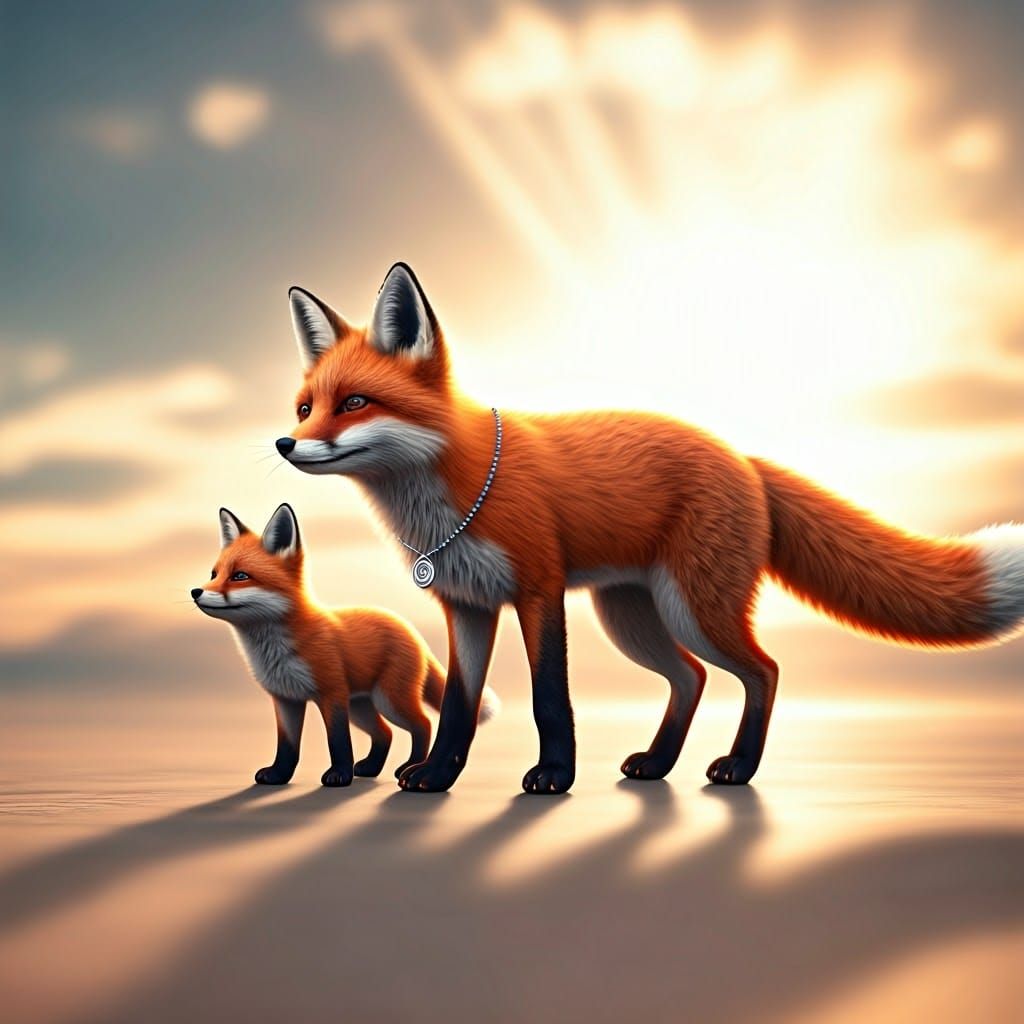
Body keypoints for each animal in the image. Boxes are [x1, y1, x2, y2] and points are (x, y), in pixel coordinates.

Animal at [190, 502, 499, 787]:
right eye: (214, 574)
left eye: (240, 576)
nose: (195, 591)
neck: (276, 650)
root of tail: (406, 625)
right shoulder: (286, 699)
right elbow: (287, 747)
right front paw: (279, 775)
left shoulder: (332, 694)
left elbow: (338, 742)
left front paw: (339, 775)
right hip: (361, 707)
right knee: (385, 733)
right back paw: (372, 768)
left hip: (388, 700)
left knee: (422, 724)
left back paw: (409, 766)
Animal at [273, 262, 1024, 795]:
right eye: (306, 407)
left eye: (356, 403)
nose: (285, 444)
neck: (453, 494)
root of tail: (742, 458)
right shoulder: (467, 605)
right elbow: (458, 705)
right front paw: (437, 777)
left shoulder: (540, 591)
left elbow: (550, 698)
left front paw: (554, 778)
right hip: (631, 616)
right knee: (690, 677)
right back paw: (660, 763)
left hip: (692, 609)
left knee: (764, 669)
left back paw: (739, 768)